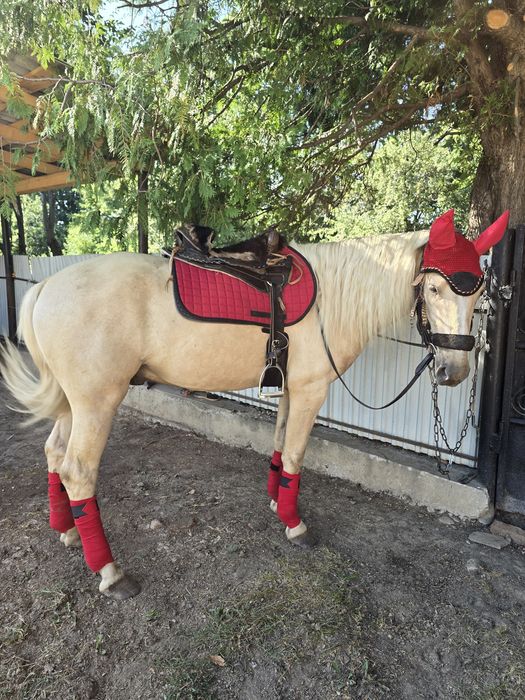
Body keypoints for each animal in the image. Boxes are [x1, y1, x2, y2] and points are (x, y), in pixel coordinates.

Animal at [0, 209, 508, 599]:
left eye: (478, 293)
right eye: (435, 289)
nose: (453, 371)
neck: (329, 301)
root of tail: (44, 288)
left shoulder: (290, 389)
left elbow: (281, 446)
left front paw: (276, 502)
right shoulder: (311, 390)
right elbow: (298, 454)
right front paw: (295, 525)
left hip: (72, 402)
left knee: (53, 454)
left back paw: (67, 531)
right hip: (97, 402)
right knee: (77, 471)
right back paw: (110, 572)